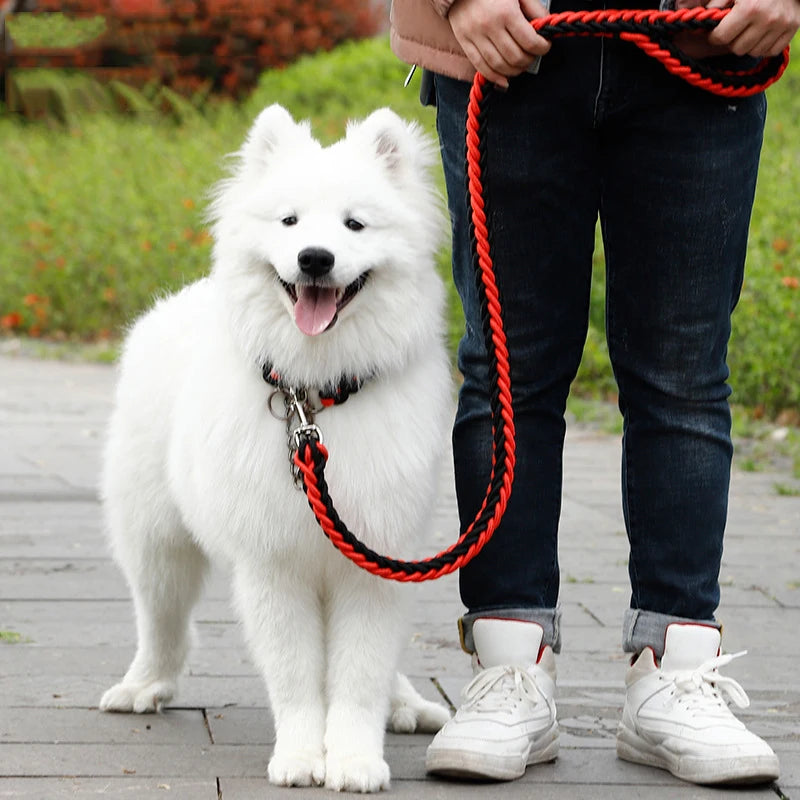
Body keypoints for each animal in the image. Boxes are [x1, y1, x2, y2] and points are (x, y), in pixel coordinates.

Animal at [97, 103, 454, 792]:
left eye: (354, 224)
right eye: (289, 222)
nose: (314, 258)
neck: (315, 397)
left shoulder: (375, 559)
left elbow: (359, 676)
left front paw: (354, 759)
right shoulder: (273, 566)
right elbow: (295, 678)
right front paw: (299, 756)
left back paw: (407, 704)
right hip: (154, 535)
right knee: (161, 618)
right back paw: (143, 686)